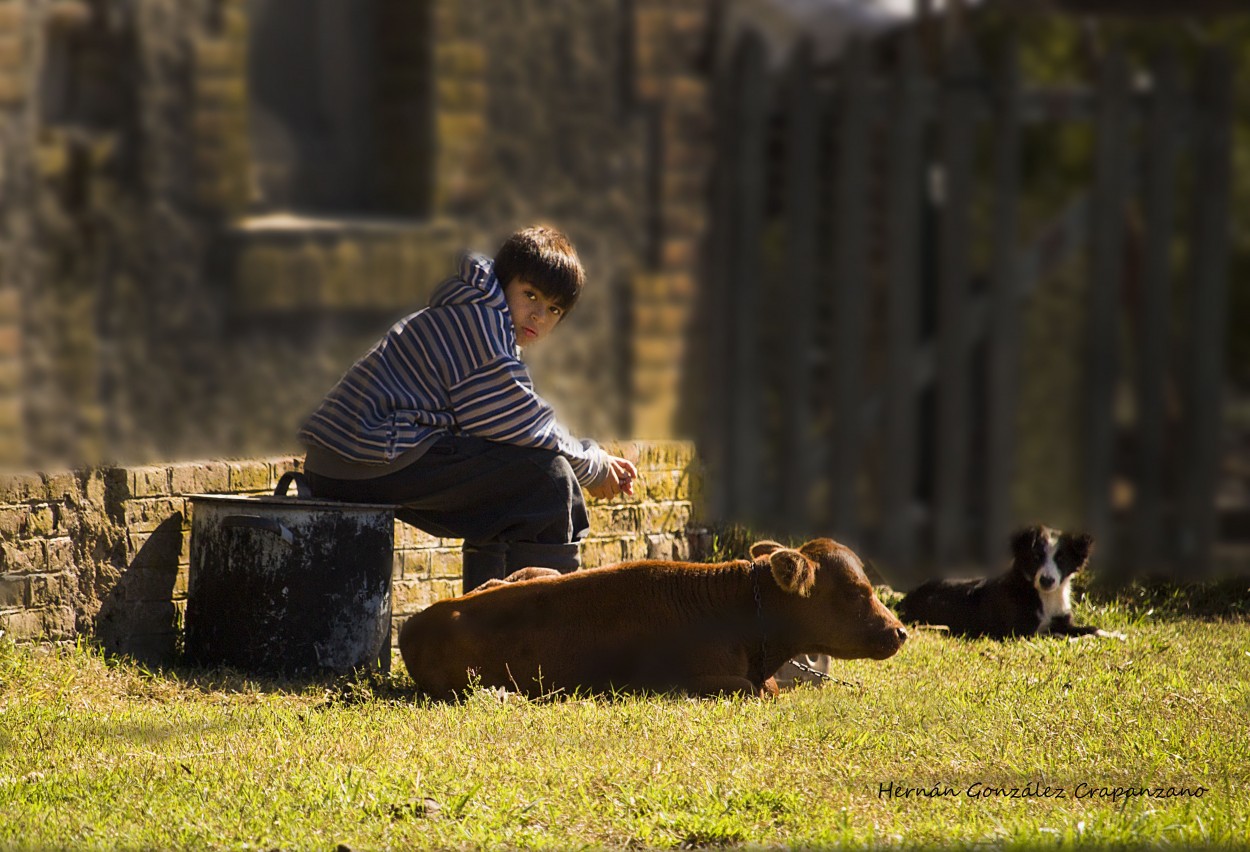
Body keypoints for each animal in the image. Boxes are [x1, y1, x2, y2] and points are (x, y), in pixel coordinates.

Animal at [895, 524, 1120, 637]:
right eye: (1036, 557)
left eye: (1061, 559)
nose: (1047, 580)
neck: (1042, 596)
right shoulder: (1021, 631)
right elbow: (1057, 633)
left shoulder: (1063, 620)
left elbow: (1088, 628)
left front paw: (1115, 635)